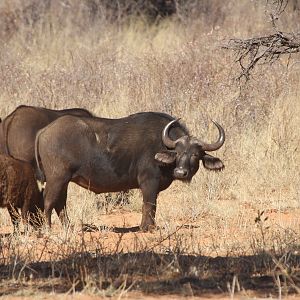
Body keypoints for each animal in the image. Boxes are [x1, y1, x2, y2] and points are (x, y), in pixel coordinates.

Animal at [35, 111, 225, 231]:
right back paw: (48, 229)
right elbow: (149, 205)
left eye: (195, 154)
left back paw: (68, 227)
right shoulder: (149, 183)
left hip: (64, 181)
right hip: (57, 179)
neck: (161, 144)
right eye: (177, 152)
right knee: (49, 201)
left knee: (60, 203)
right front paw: (147, 227)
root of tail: (44, 130)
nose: (180, 172)